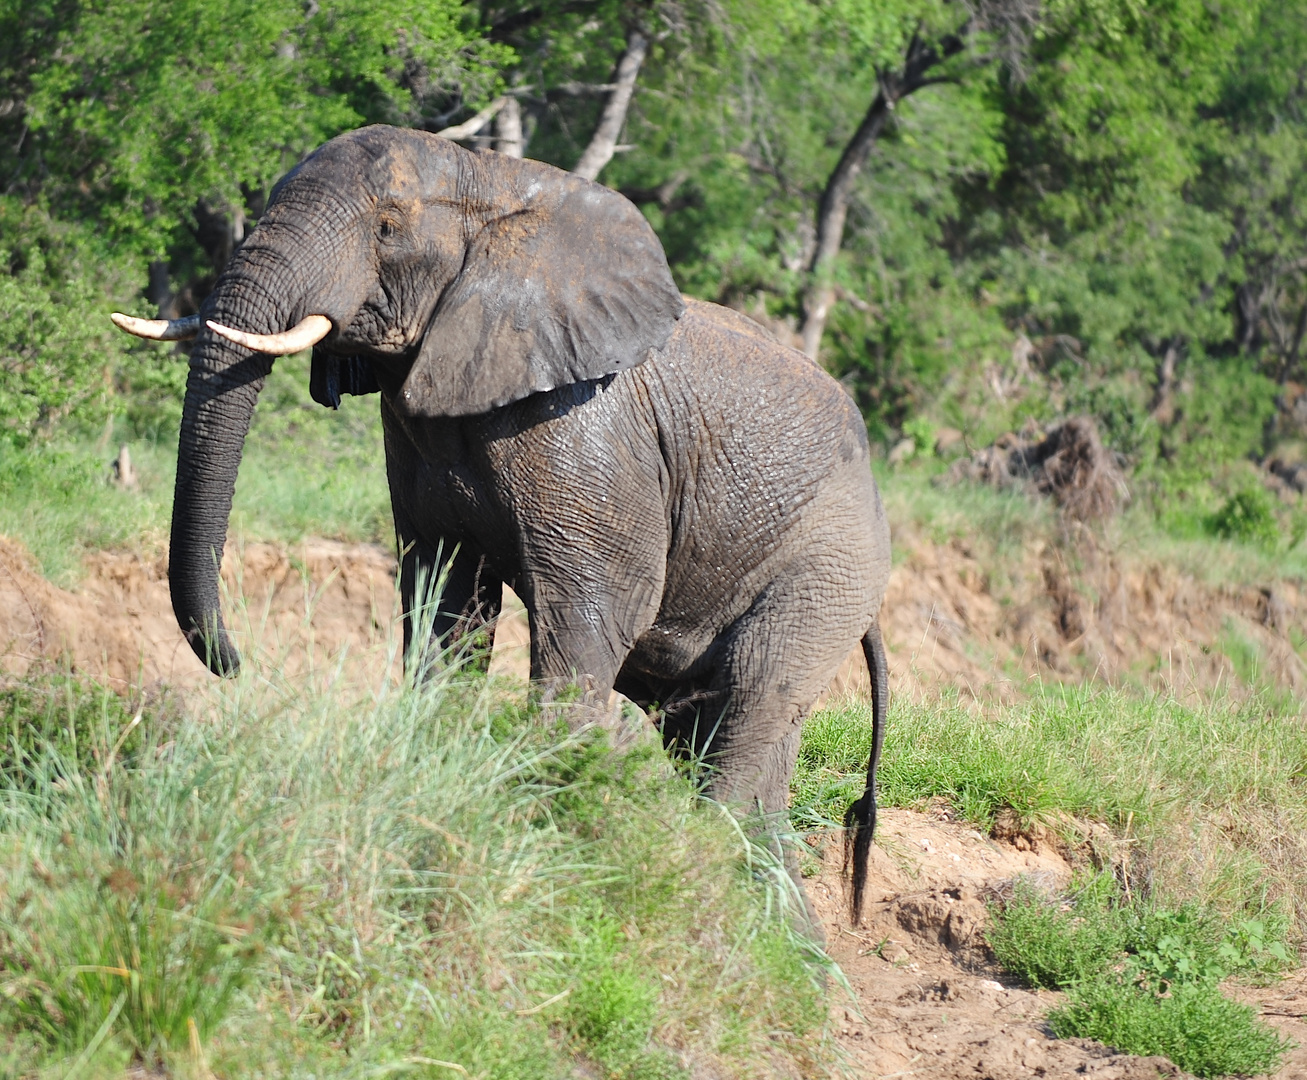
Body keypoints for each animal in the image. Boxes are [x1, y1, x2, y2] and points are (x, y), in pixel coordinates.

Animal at [112, 122, 893, 920]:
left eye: (387, 227)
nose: (240, 665)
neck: (488, 179)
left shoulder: (585, 429)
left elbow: (594, 611)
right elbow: (444, 602)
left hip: (827, 569)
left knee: (748, 706)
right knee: (715, 741)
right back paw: (781, 934)